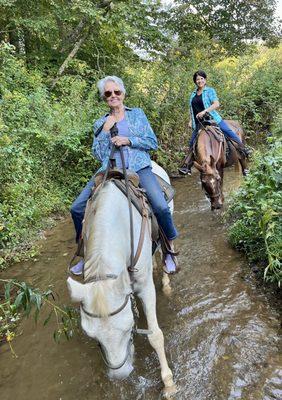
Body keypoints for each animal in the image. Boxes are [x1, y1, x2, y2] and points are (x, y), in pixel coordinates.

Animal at [67, 161, 175, 396]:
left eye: (128, 328)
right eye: (92, 337)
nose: (121, 375)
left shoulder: (144, 286)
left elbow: (155, 335)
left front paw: (169, 384)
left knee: (166, 246)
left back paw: (166, 277)